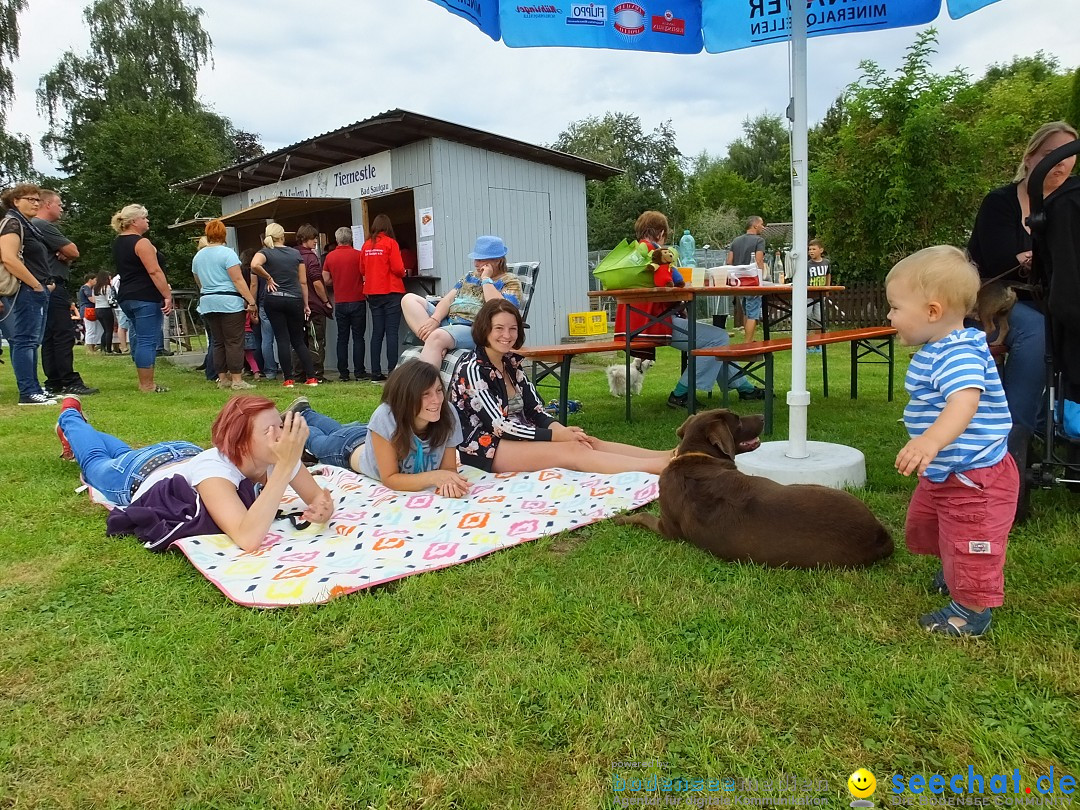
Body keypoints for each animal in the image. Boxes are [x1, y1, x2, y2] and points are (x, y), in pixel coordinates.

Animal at [617, 408, 894, 565]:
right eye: (738, 420)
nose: (762, 416)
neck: (695, 457)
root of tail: (878, 534)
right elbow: (643, 515)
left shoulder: (668, 530)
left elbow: (642, 515)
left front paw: (621, 517)